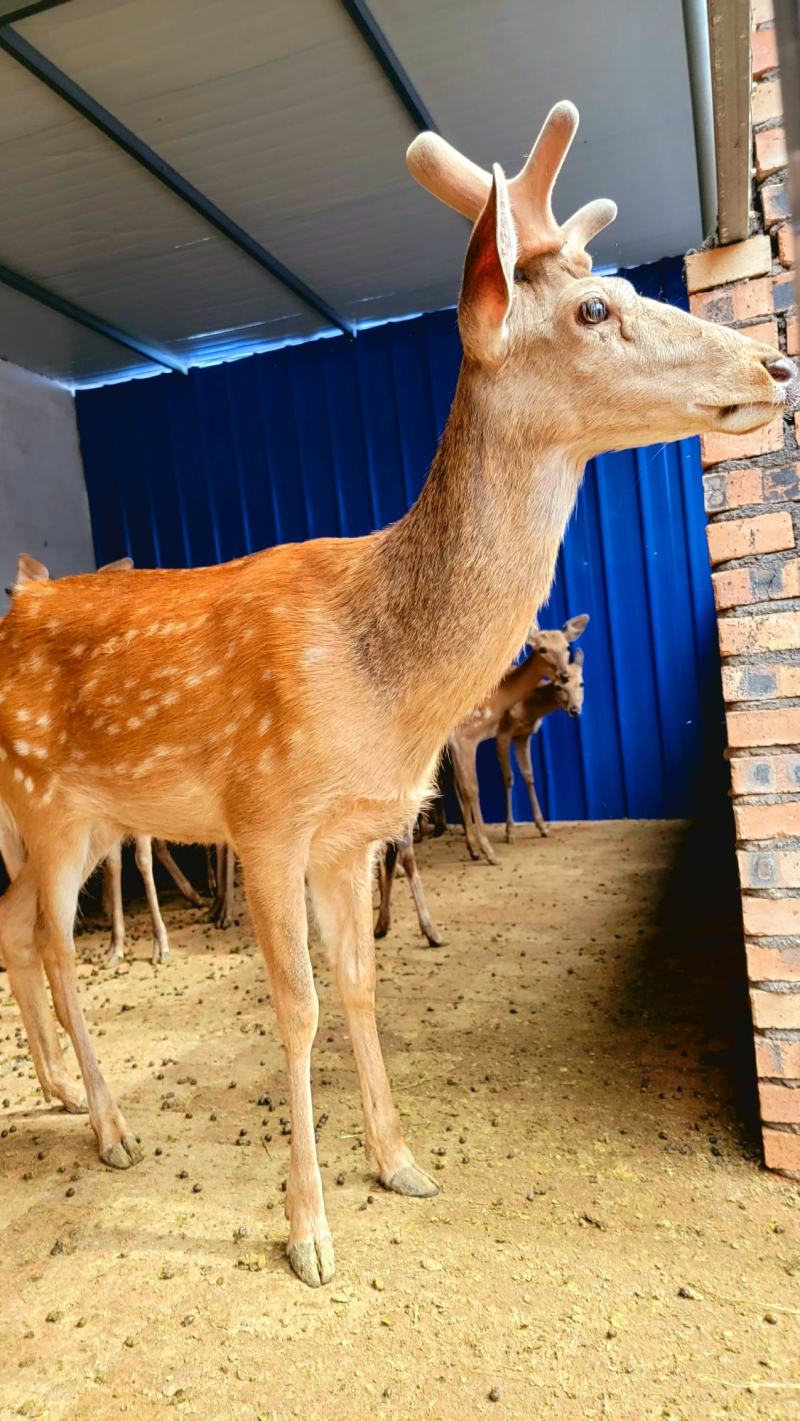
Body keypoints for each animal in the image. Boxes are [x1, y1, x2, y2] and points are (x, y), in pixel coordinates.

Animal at [448, 616, 588, 863]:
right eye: (542, 649)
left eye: (566, 646)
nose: (563, 674)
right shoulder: (467, 736)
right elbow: (474, 788)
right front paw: (490, 850)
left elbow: (524, 775)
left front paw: (475, 848)